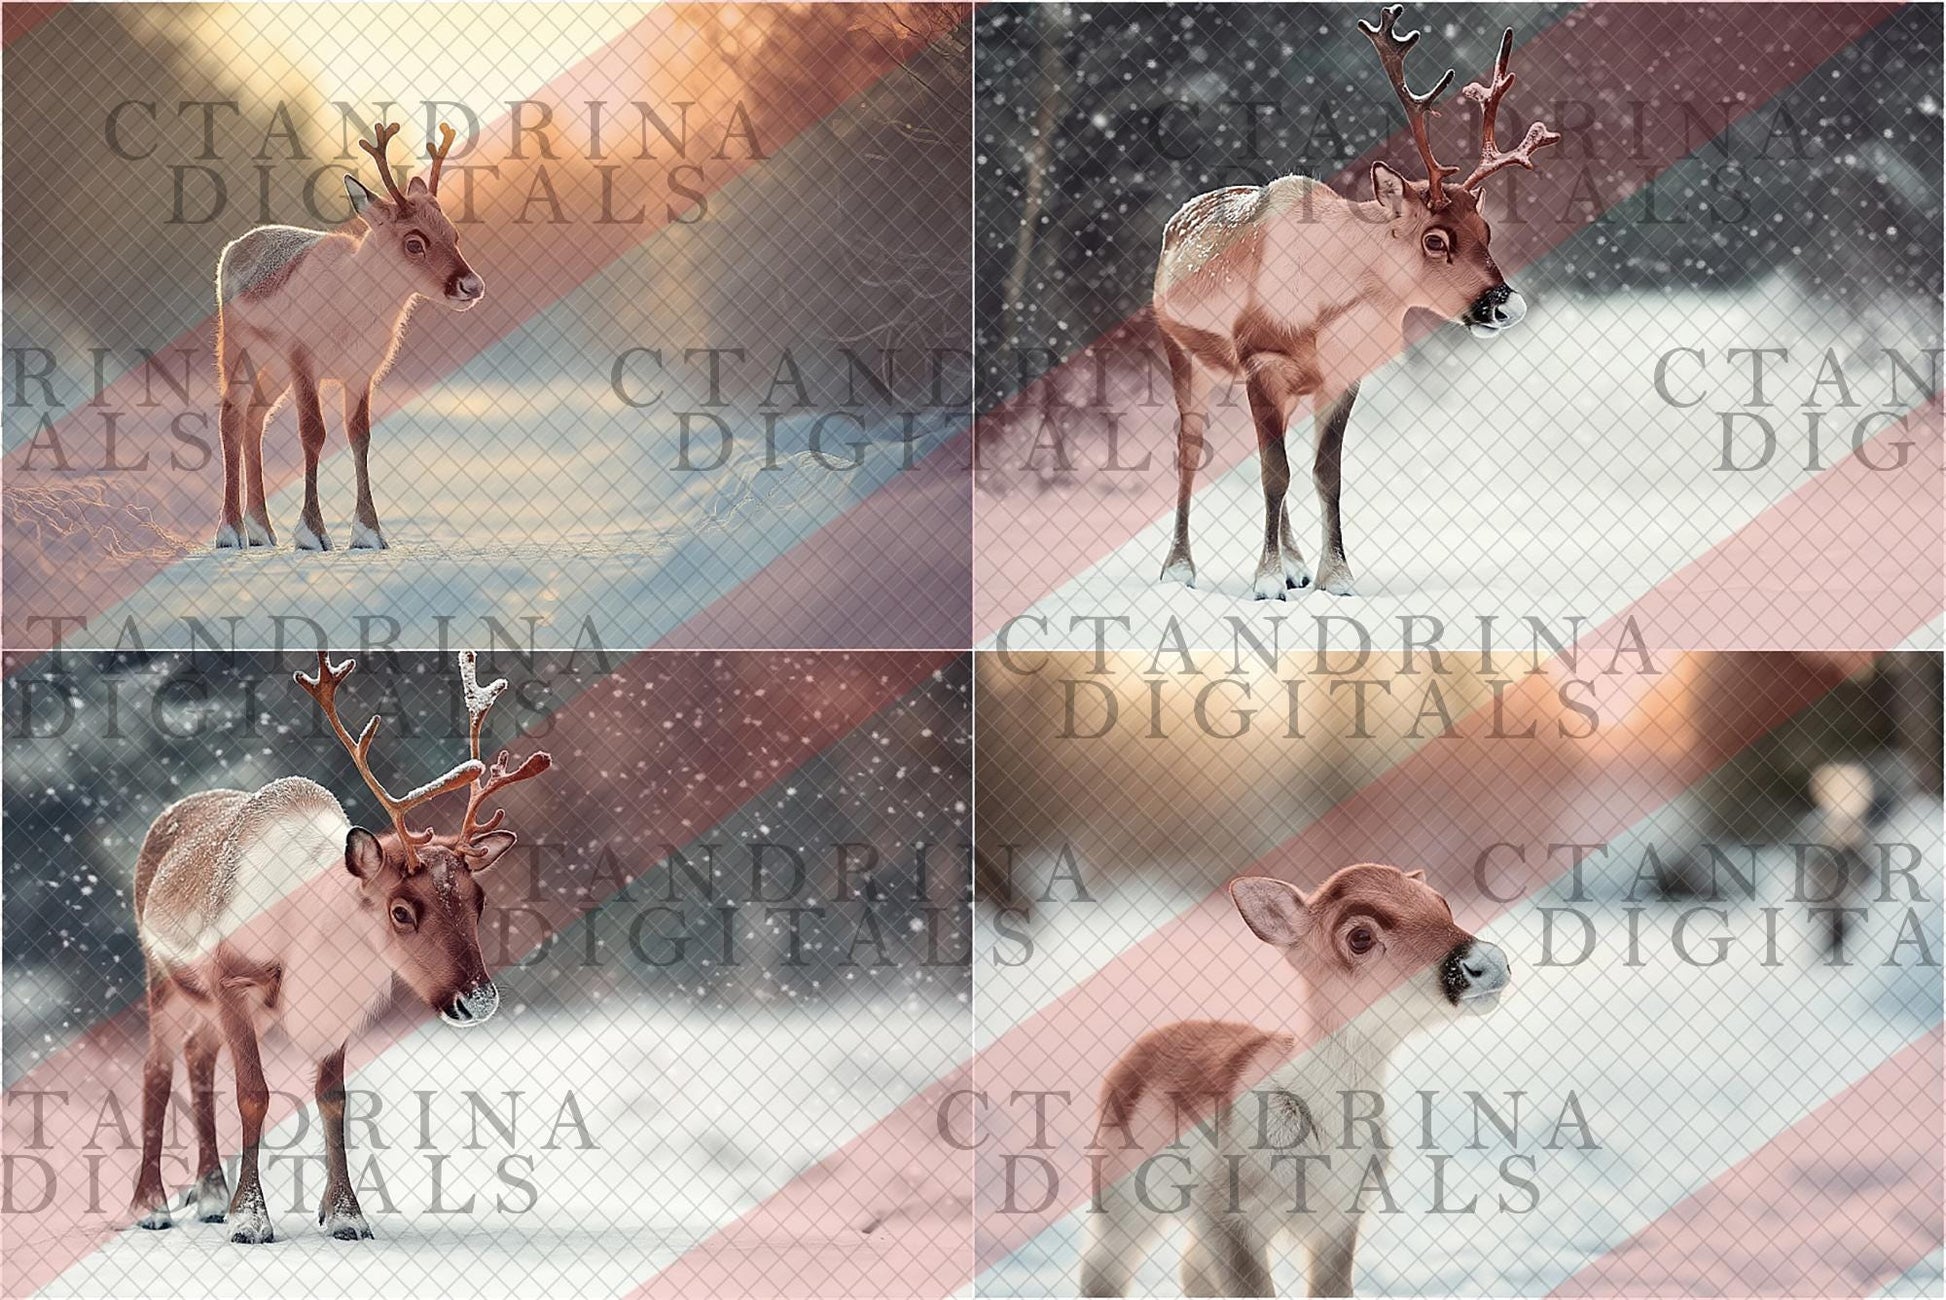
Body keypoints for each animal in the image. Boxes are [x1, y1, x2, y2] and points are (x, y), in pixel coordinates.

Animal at [127, 650, 550, 1244]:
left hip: (218, 1008)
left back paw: (209, 1195)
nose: (479, 1000)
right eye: (401, 910)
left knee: (197, 1056)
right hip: (163, 979)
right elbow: (253, 1093)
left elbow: (334, 1099)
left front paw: (345, 1214)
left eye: (480, 899)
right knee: (157, 1068)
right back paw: (153, 1206)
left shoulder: (334, 1009)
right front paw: (250, 1220)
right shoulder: (233, 980)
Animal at [212, 120, 484, 552]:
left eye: (454, 234)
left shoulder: (360, 372)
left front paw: (369, 533)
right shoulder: (304, 360)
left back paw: (261, 529)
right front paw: (313, 534)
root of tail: (234, 247)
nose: (472, 286)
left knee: (255, 416)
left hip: (274, 369)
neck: (353, 308)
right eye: (414, 242)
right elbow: (313, 434)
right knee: (231, 415)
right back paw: (230, 532)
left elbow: (360, 437)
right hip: (240, 350)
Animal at [1079, 865, 1511, 1297]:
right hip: (1124, 1198)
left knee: (1190, 1267)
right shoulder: (1226, 1211)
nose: (1488, 962)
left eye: (1443, 905)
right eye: (1360, 937)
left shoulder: (1340, 1216)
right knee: (1101, 1267)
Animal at [1153, 5, 1559, 600]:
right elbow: (1275, 472)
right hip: (1183, 353)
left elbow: (1326, 474)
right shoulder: (1261, 360)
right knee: (1188, 449)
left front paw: (1334, 577)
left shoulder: (1343, 372)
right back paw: (1178, 569)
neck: (1330, 304)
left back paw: (1296, 563)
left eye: (1486, 230)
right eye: (1434, 239)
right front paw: (1266, 582)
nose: (1506, 306)